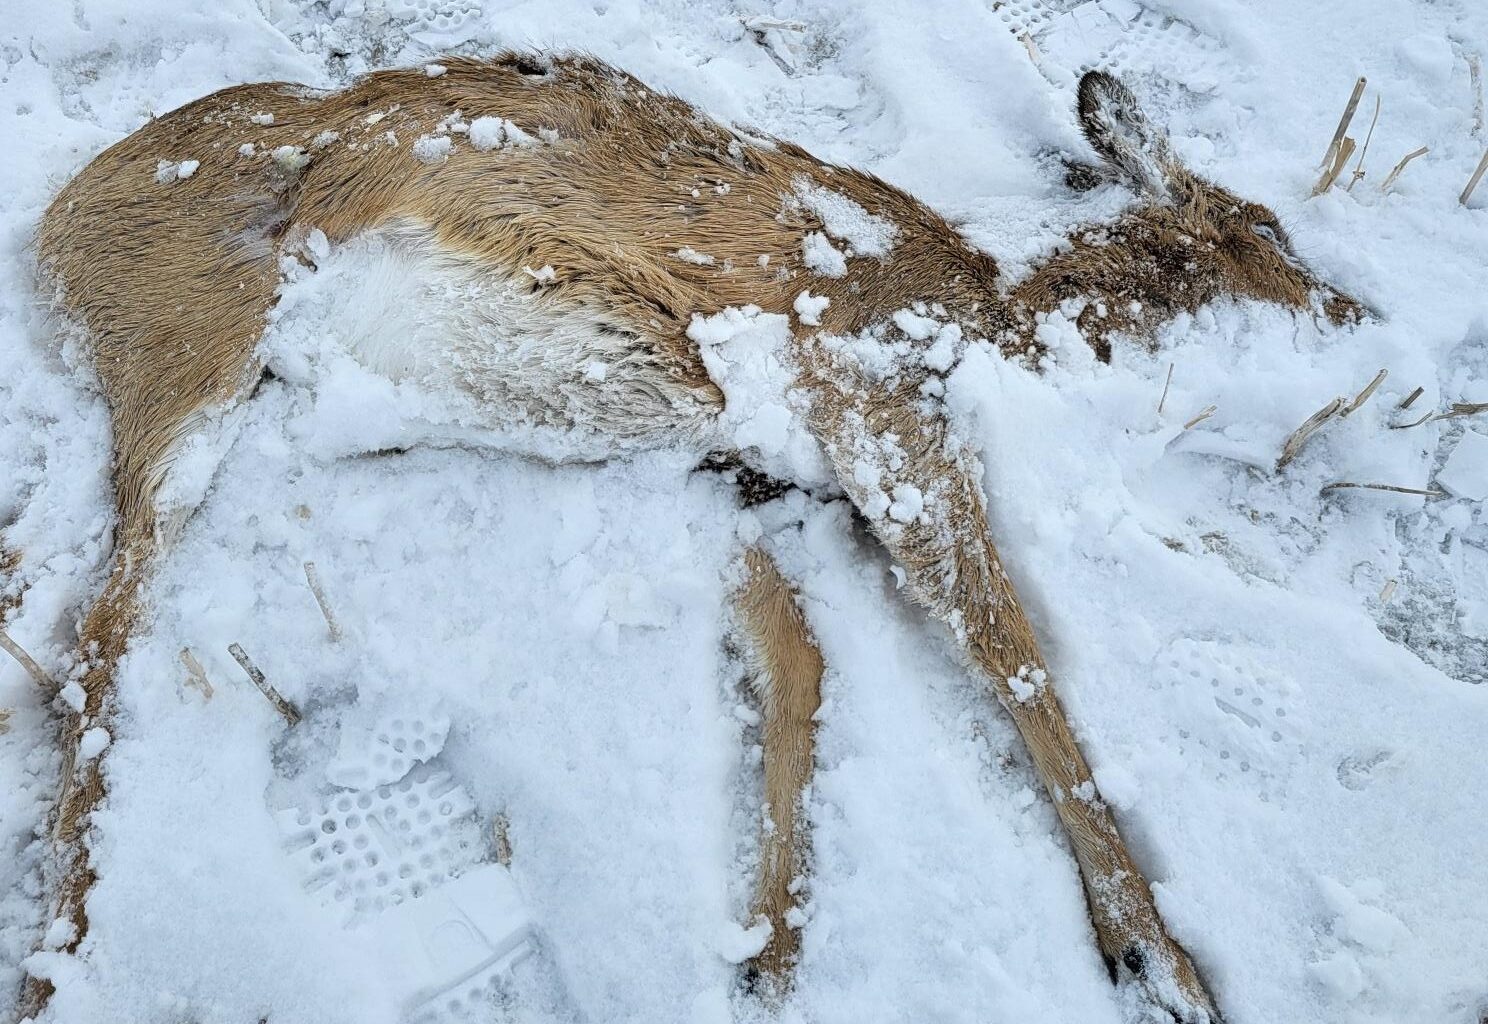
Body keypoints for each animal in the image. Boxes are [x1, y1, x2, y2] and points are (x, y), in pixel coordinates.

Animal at [17, 51, 1366, 1022]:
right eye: (1267, 233)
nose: (1360, 313)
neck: (987, 303)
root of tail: (61, 218)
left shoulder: (757, 477)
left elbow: (797, 662)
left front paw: (768, 954)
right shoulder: (879, 416)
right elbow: (1014, 656)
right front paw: (1169, 967)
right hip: (196, 366)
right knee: (97, 644)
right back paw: (54, 966)